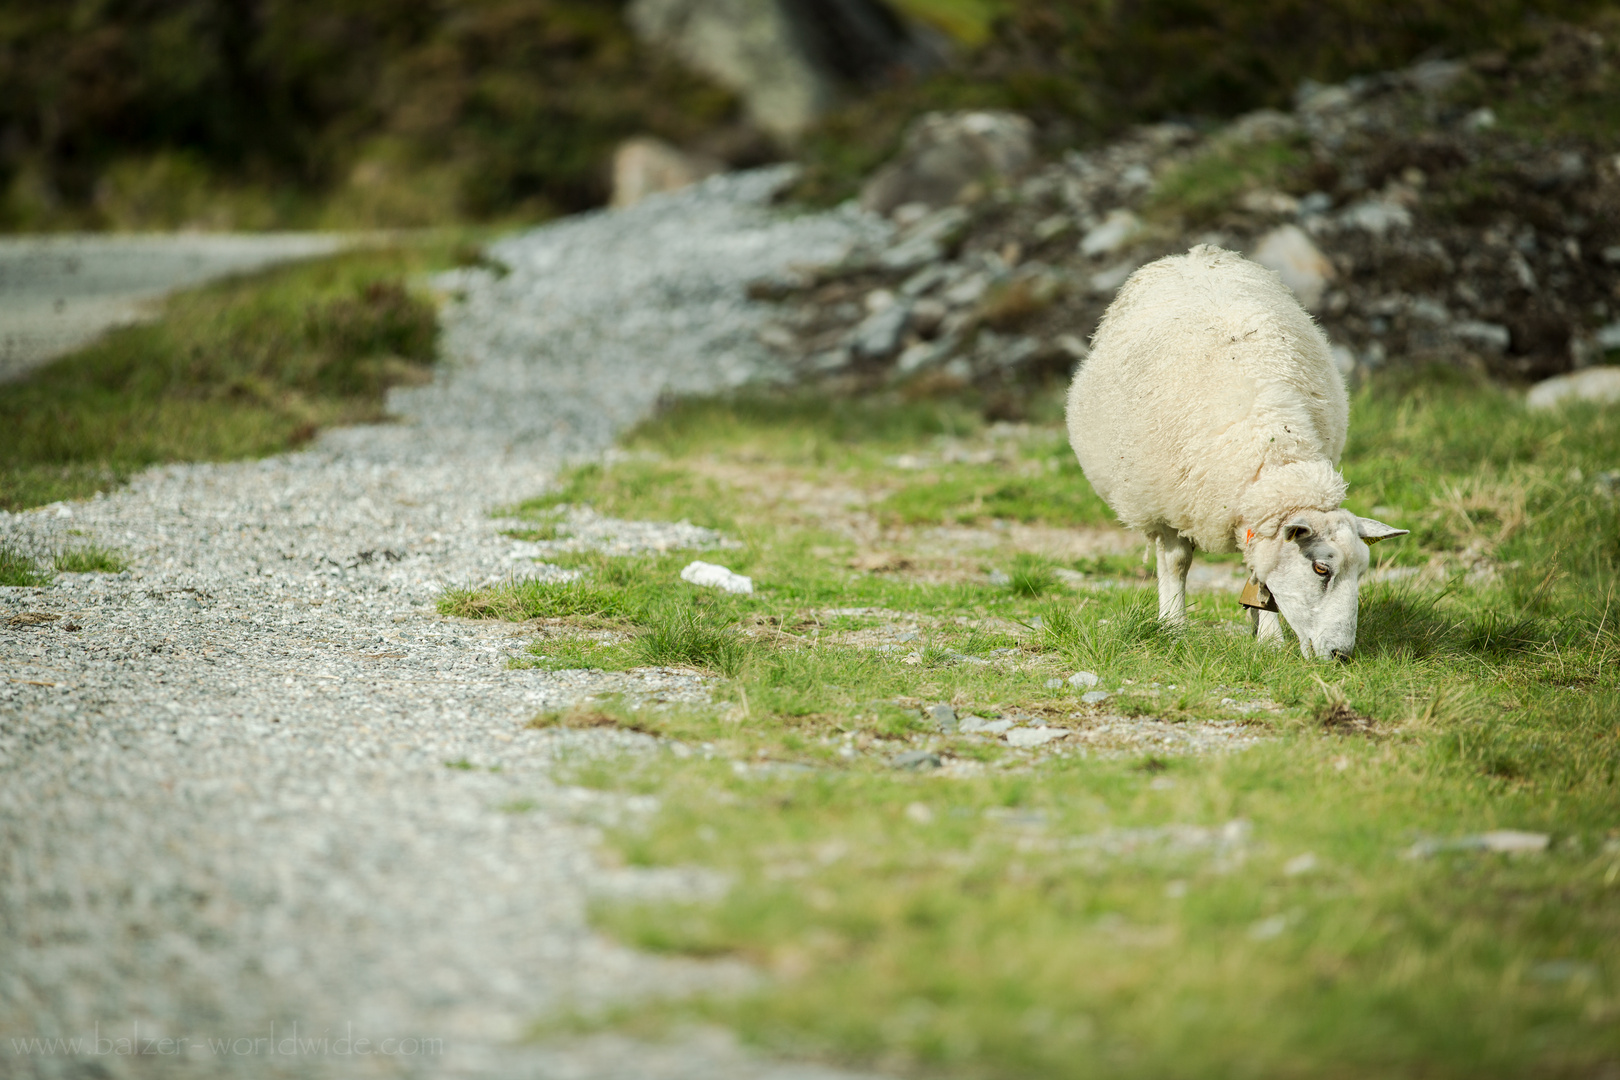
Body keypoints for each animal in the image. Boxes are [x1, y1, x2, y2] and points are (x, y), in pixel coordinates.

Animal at [1062, 244, 1406, 660]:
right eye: (1321, 569)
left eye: (1361, 574)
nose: (1341, 655)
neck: (1273, 450)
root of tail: (1195, 254)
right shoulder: (1167, 505)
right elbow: (1176, 563)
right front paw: (1174, 626)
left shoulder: (1253, 517)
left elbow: (1259, 577)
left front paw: (1267, 637)